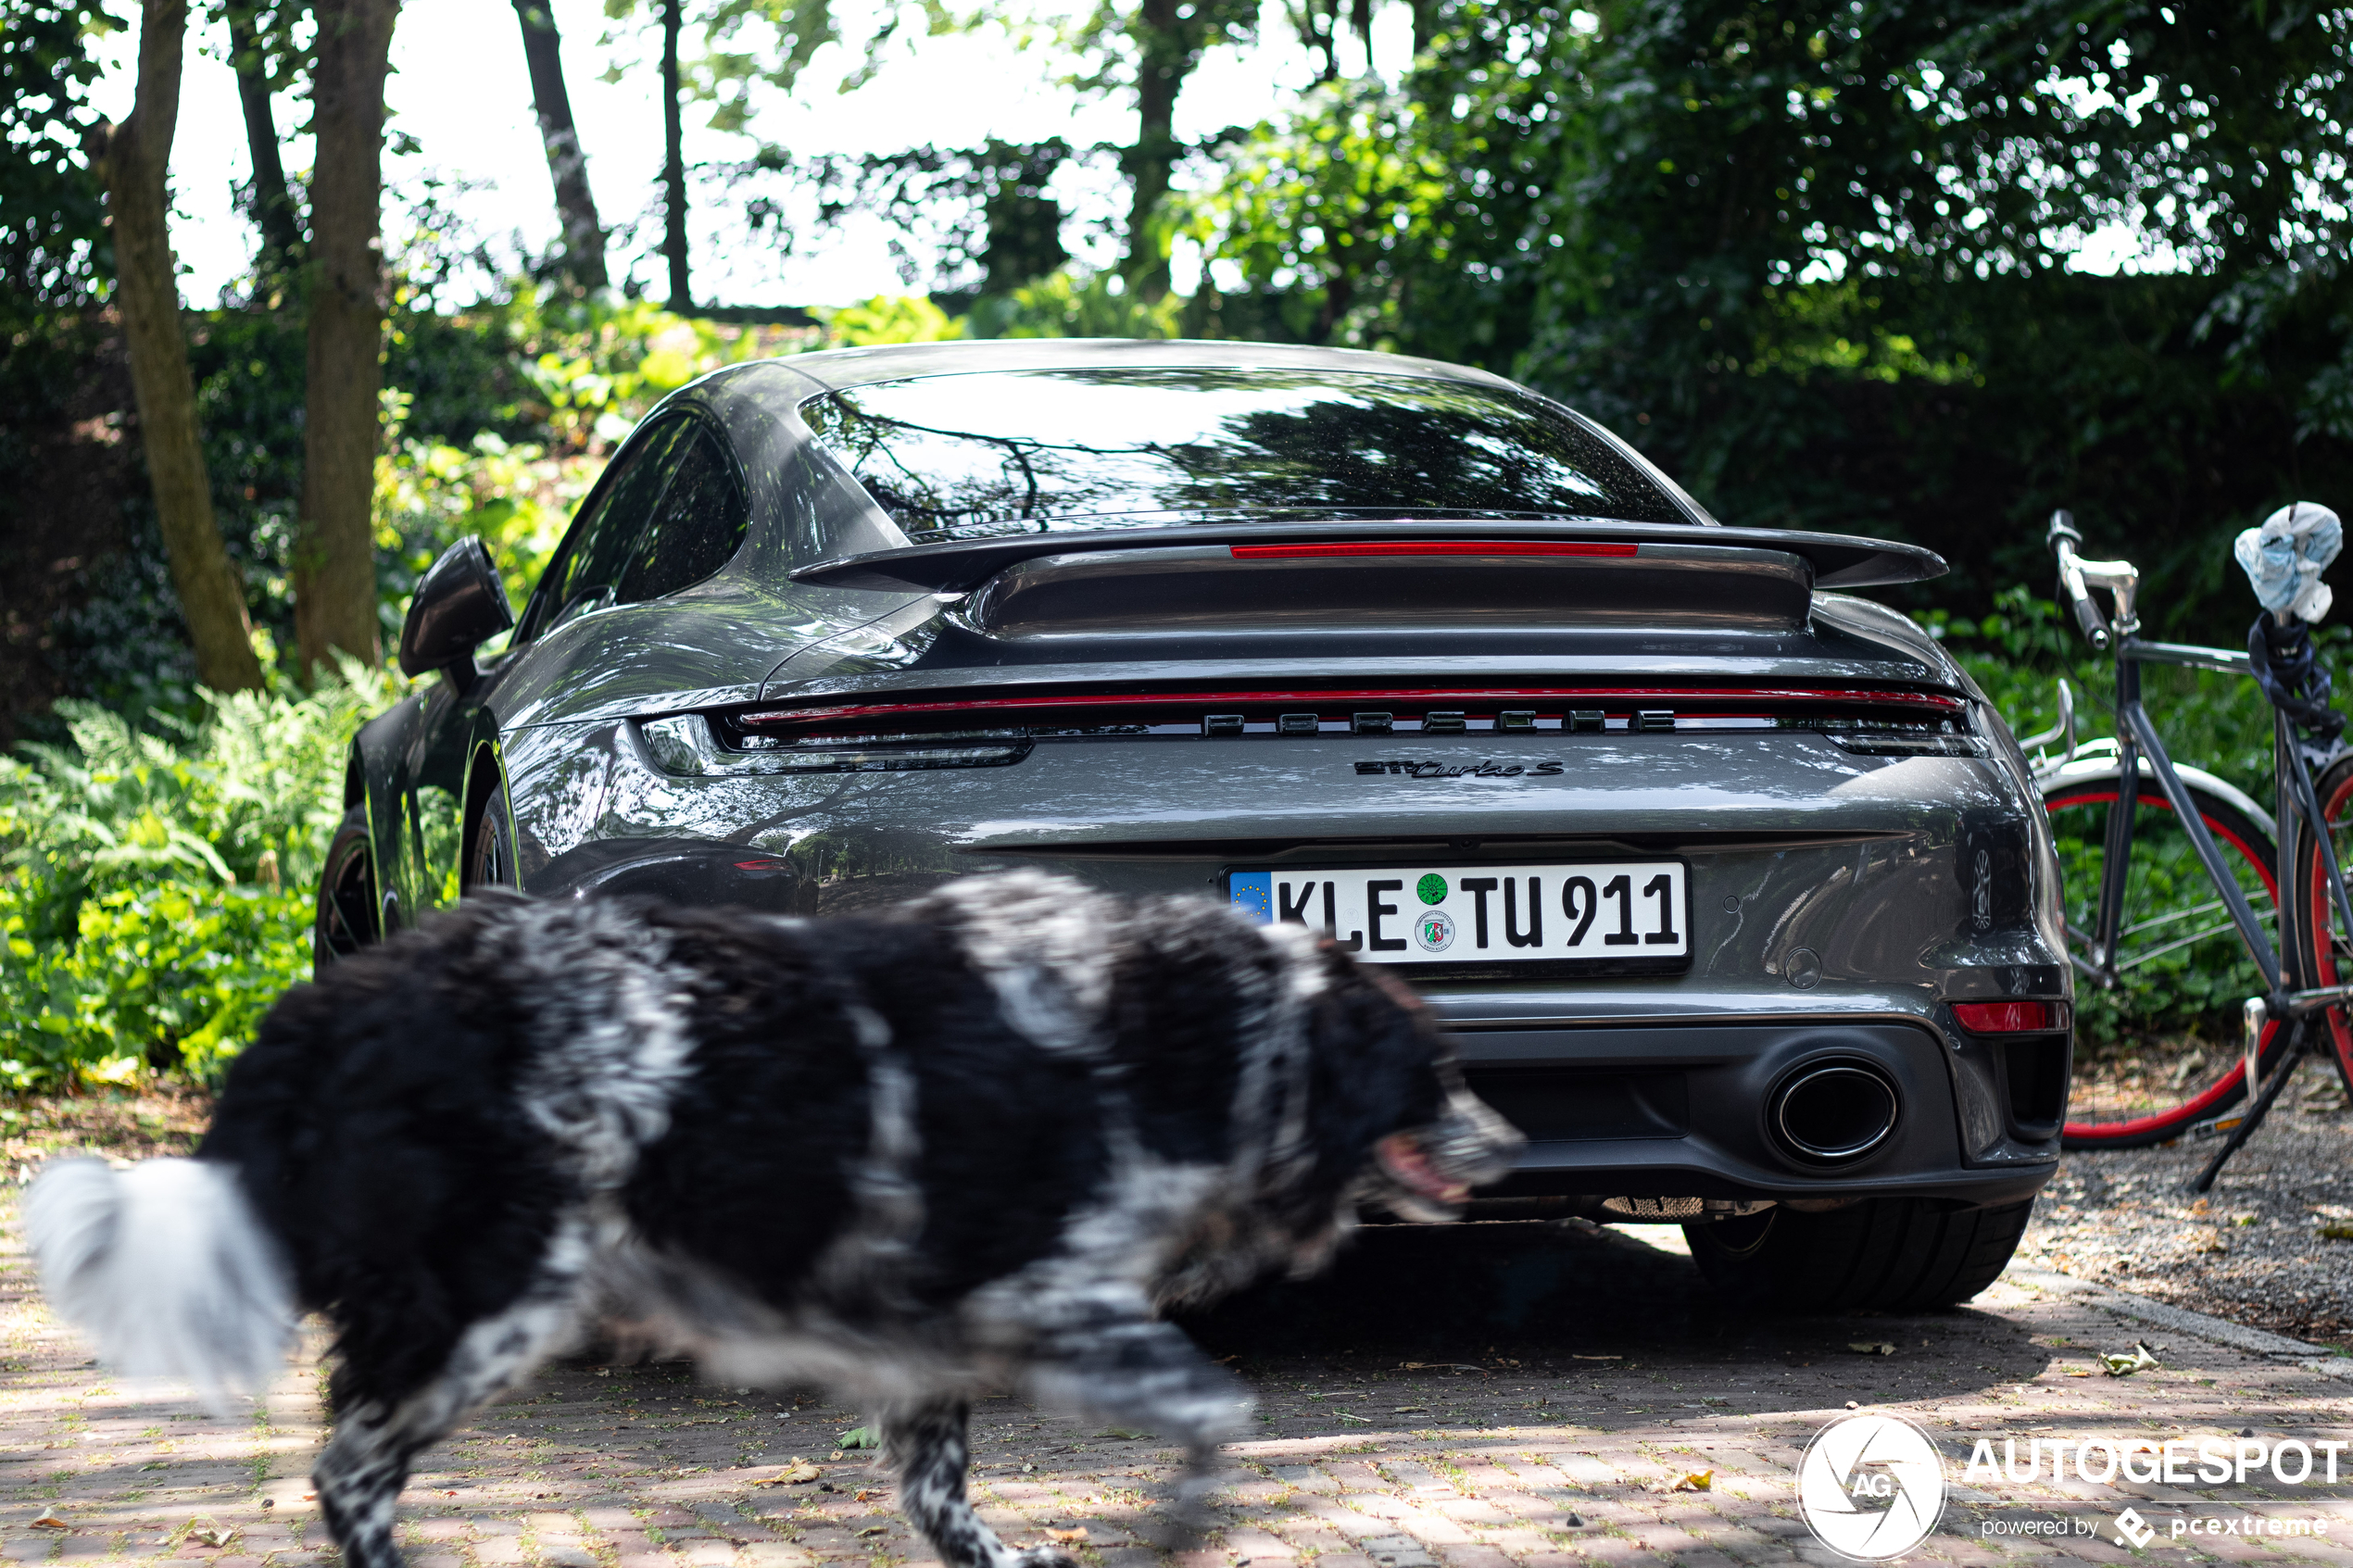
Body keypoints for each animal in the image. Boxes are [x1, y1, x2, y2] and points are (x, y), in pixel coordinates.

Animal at [27, 870, 1515, 1568]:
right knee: (350, 1470)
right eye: (1438, 1071)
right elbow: (1220, 1412)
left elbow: (943, 1501)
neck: (1188, 1035)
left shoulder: (929, 1340)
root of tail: (334, 1002)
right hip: (497, 1301)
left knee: (350, 1462)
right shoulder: (1039, 1299)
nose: (1511, 1147)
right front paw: (1181, 1523)